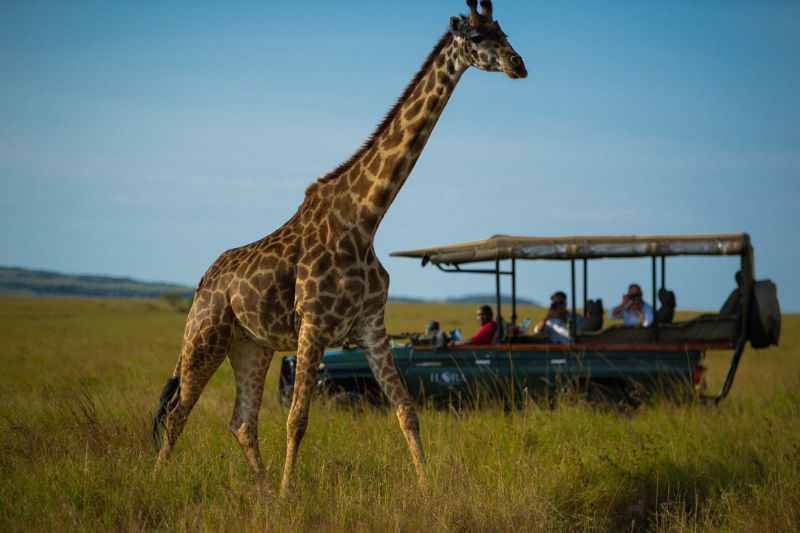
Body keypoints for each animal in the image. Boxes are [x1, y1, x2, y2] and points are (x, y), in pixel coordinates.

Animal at [152, 1, 524, 494]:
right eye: (478, 37)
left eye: (504, 31)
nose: (518, 65)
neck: (365, 219)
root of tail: (202, 283)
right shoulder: (313, 326)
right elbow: (297, 419)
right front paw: (290, 496)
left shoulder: (371, 326)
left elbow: (407, 411)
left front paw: (427, 490)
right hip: (204, 336)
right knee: (178, 412)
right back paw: (156, 482)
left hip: (251, 345)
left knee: (241, 421)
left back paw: (262, 493)